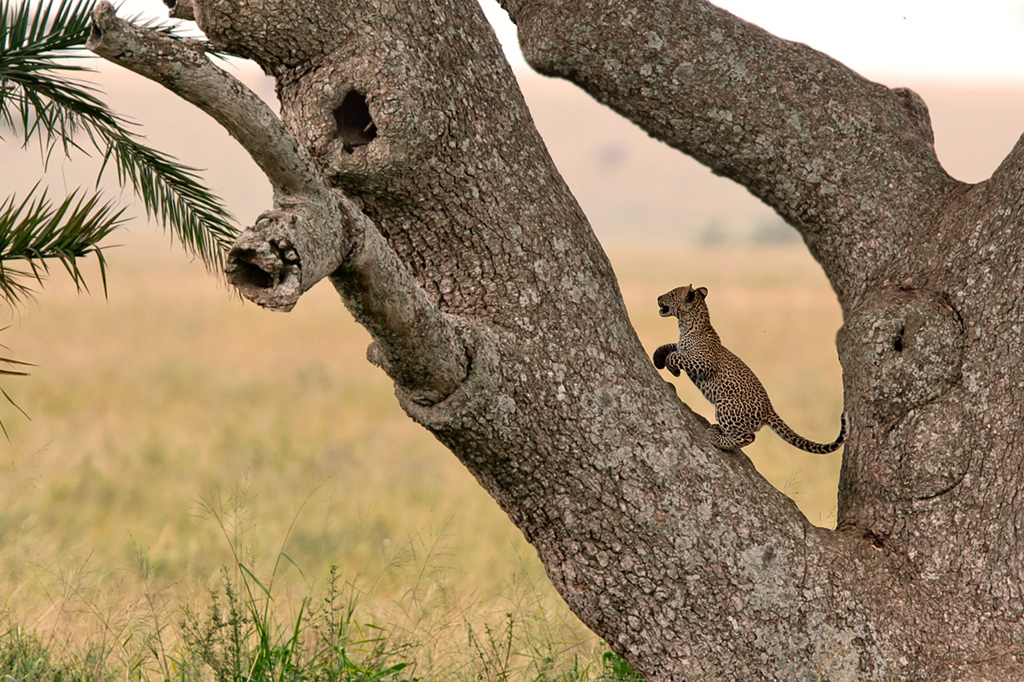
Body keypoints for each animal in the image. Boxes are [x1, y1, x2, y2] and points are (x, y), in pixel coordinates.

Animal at [653, 284, 847, 453]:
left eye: (671, 294)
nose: (658, 298)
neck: (687, 325)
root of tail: (769, 409)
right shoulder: (685, 350)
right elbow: (672, 347)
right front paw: (657, 357)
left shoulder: (705, 363)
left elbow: (676, 356)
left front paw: (673, 369)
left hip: (725, 404)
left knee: (748, 437)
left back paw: (716, 436)